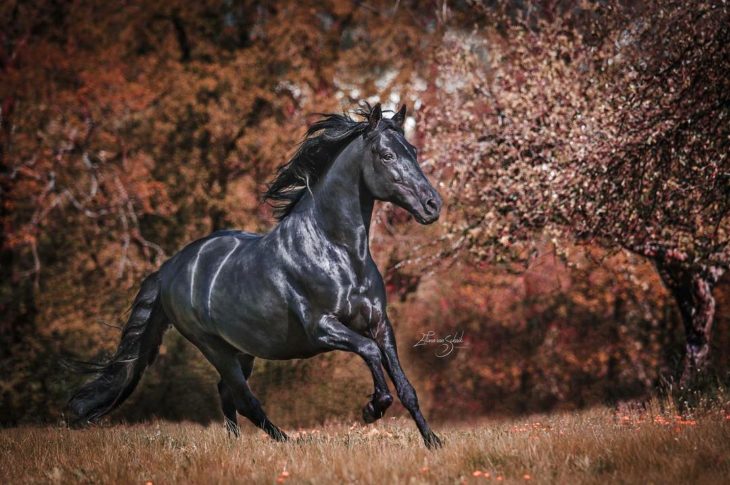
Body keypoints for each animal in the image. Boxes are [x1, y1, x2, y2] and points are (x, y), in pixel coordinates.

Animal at [69, 102, 444, 446]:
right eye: (386, 155)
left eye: (412, 151)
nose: (433, 205)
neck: (337, 251)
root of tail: (169, 269)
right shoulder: (322, 327)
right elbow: (368, 353)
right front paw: (372, 408)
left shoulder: (380, 324)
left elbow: (405, 387)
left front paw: (432, 442)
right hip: (214, 348)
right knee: (245, 399)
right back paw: (286, 443)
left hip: (242, 348)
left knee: (228, 393)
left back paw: (237, 442)